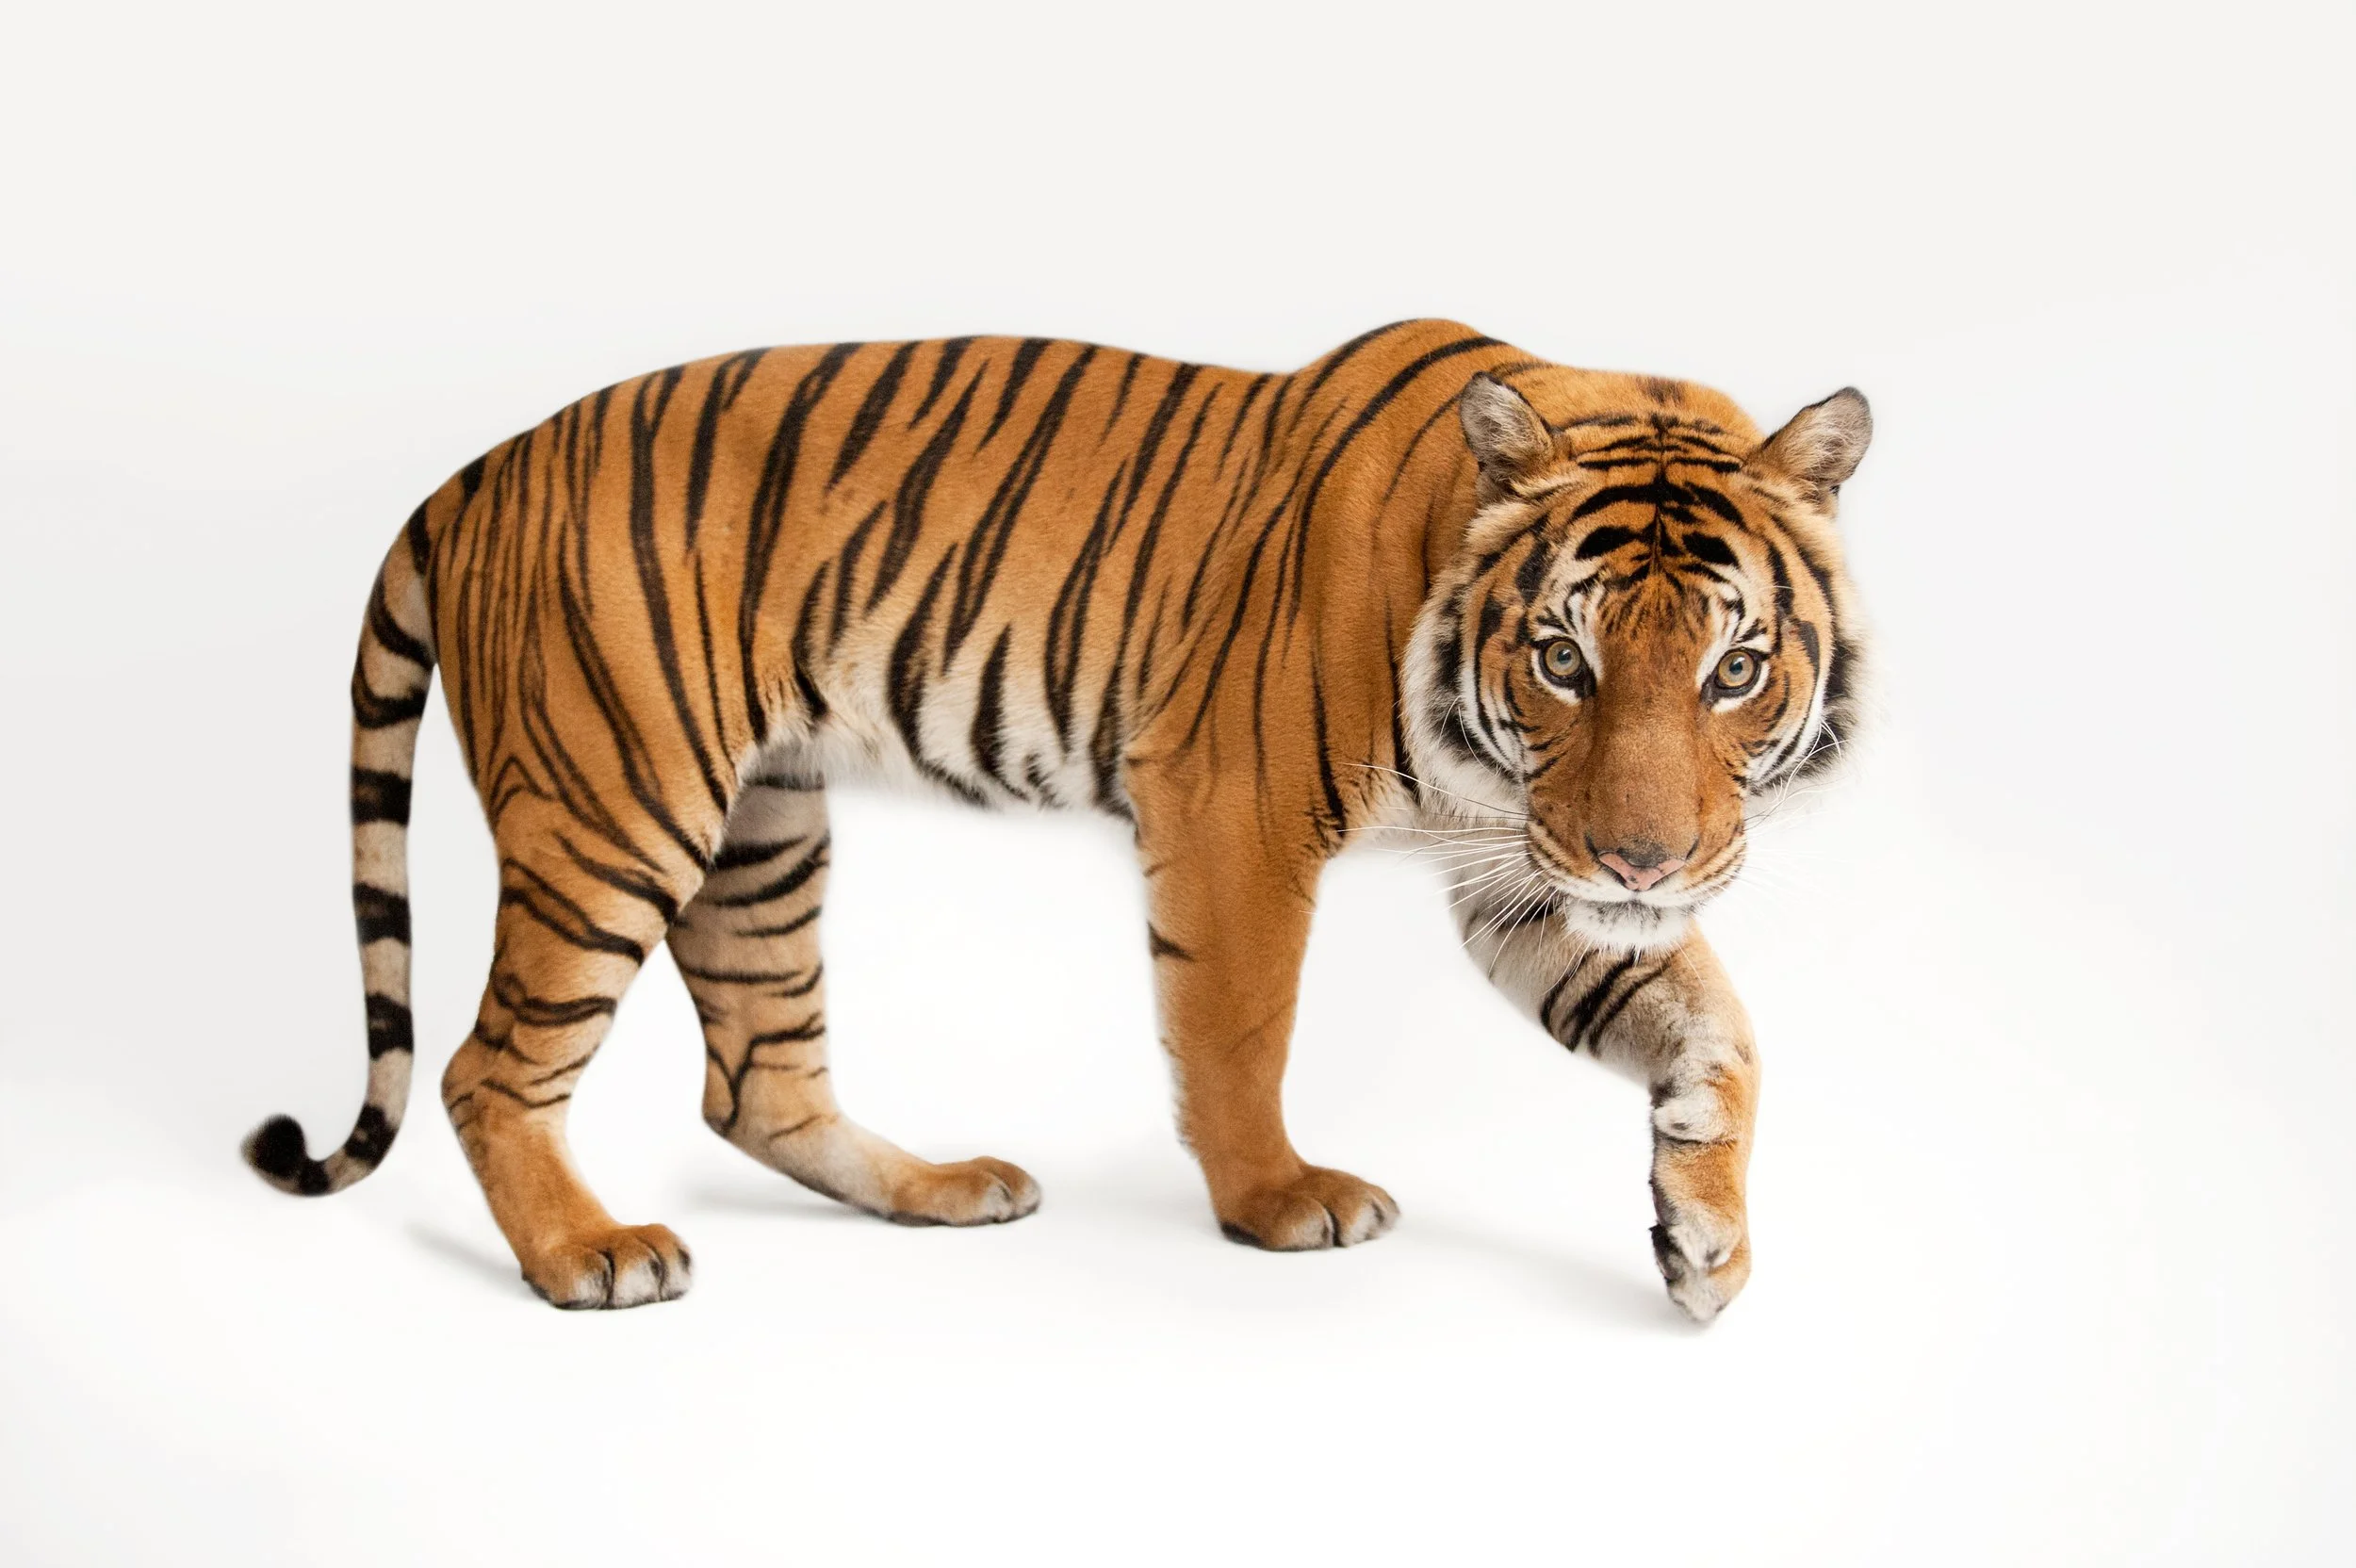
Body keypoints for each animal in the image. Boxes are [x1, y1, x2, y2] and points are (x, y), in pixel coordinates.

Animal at [243, 318, 1870, 1322]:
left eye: (1733, 670)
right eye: (1562, 659)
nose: (1645, 860)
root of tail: (480, 468)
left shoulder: (1526, 866)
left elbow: (1718, 1031)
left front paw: (1707, 1247)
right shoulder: (1231, 810)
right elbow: (1239, 1030)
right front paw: (1277, 1201)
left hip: (763, 826)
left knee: (757, 1079)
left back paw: (939, 1192)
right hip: (617, 812)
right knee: (487, 1065)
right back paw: (588, 1254)